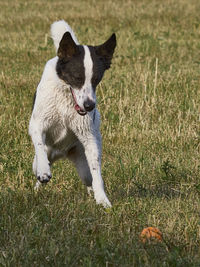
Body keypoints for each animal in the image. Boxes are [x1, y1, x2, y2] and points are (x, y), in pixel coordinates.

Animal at [28, 20, 115, 209]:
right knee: (39, 163)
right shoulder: (37, 124)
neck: (65, 96)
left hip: (82, 163)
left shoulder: (89, 137)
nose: (89, 106)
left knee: (89, 179)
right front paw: (44, 172)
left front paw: (102, 200)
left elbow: (97, 174)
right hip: (43, 157)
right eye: (77, 78)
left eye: (96, 79)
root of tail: (61, 153)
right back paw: (38, 185)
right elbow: (39, 144)